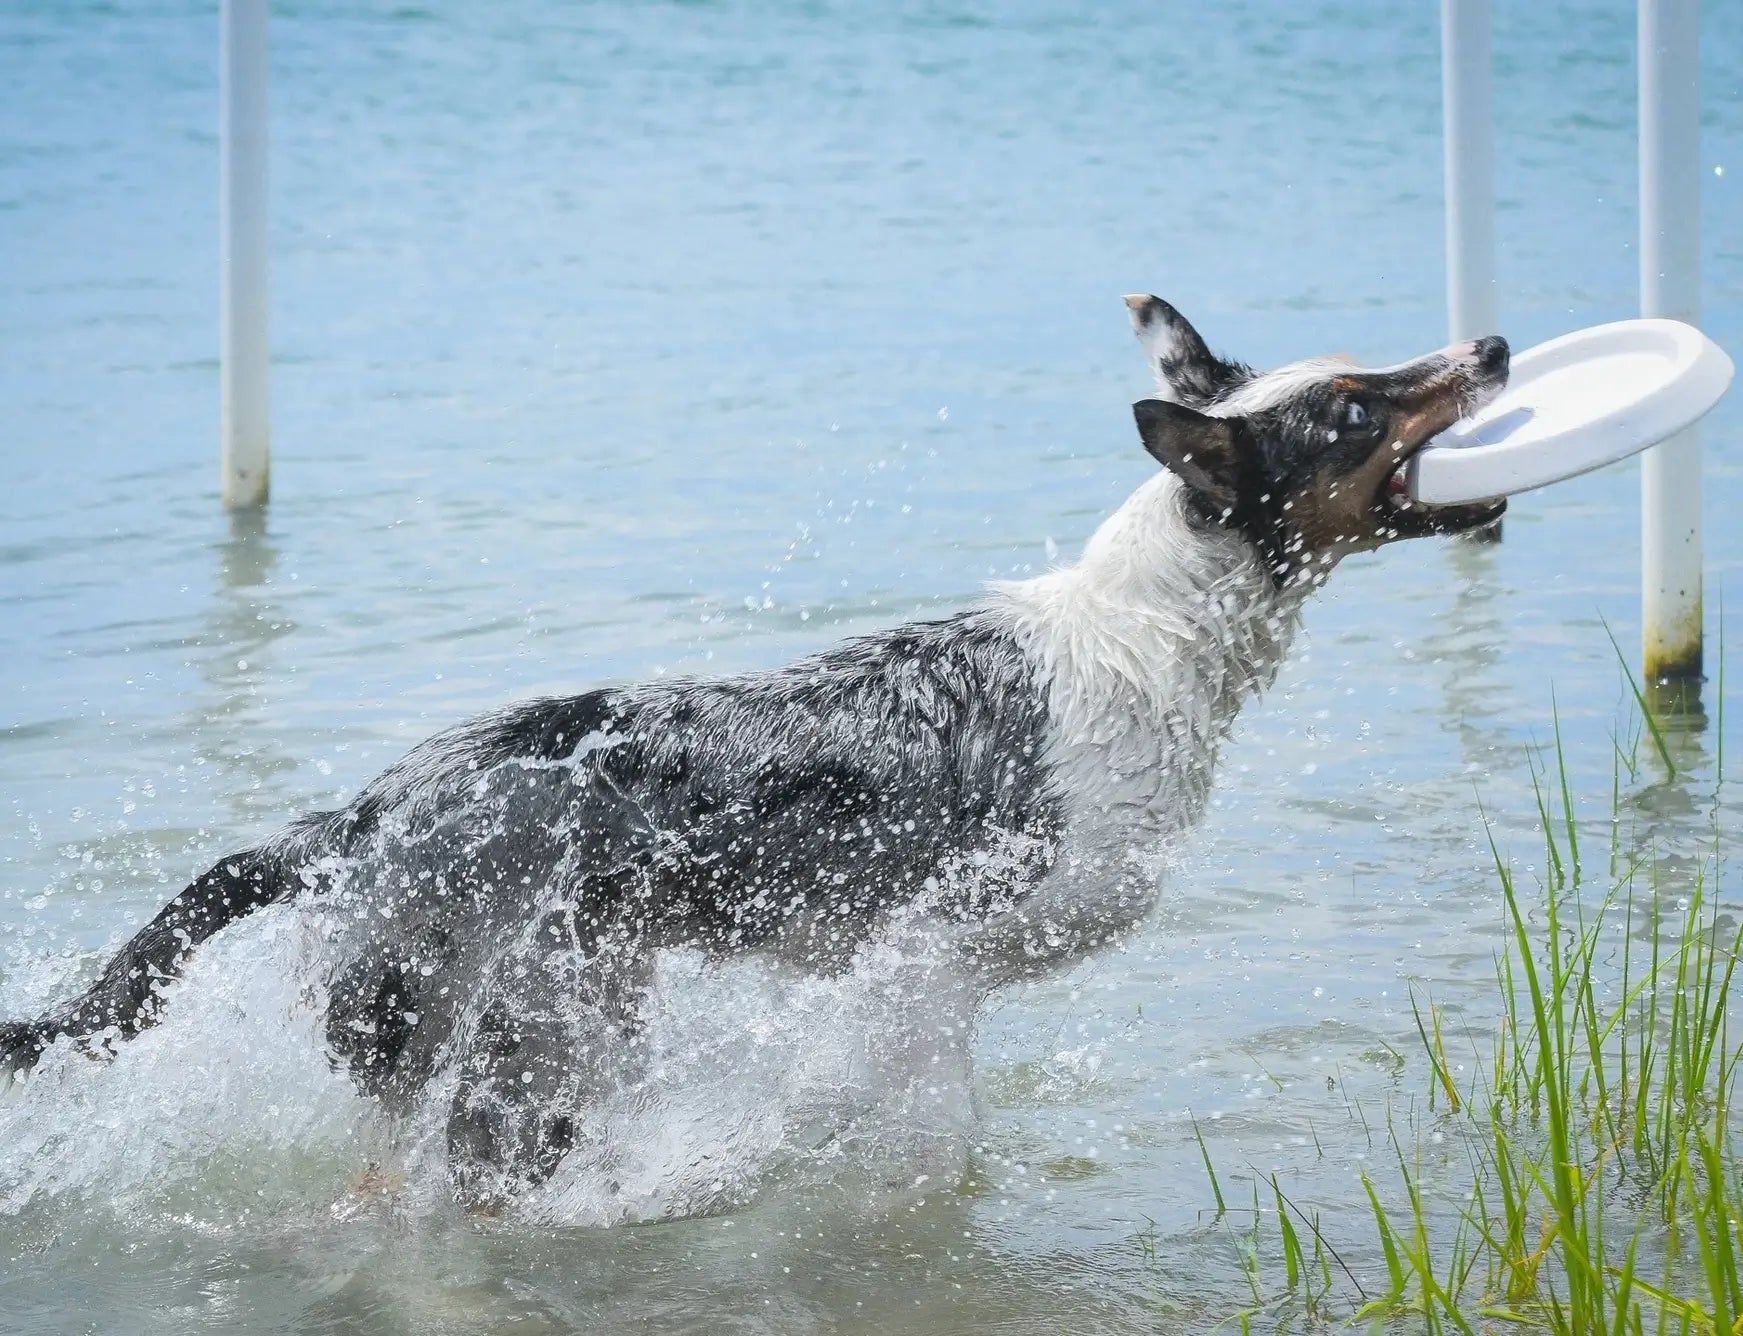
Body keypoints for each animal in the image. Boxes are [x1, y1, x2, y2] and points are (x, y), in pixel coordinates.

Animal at [0, 298, 1505, 1206]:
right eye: (1358, 407)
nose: (1491, 344)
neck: (1145, 638)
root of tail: (351, 818)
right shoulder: (928, 955)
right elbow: (893, 1114)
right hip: (496, 1054)